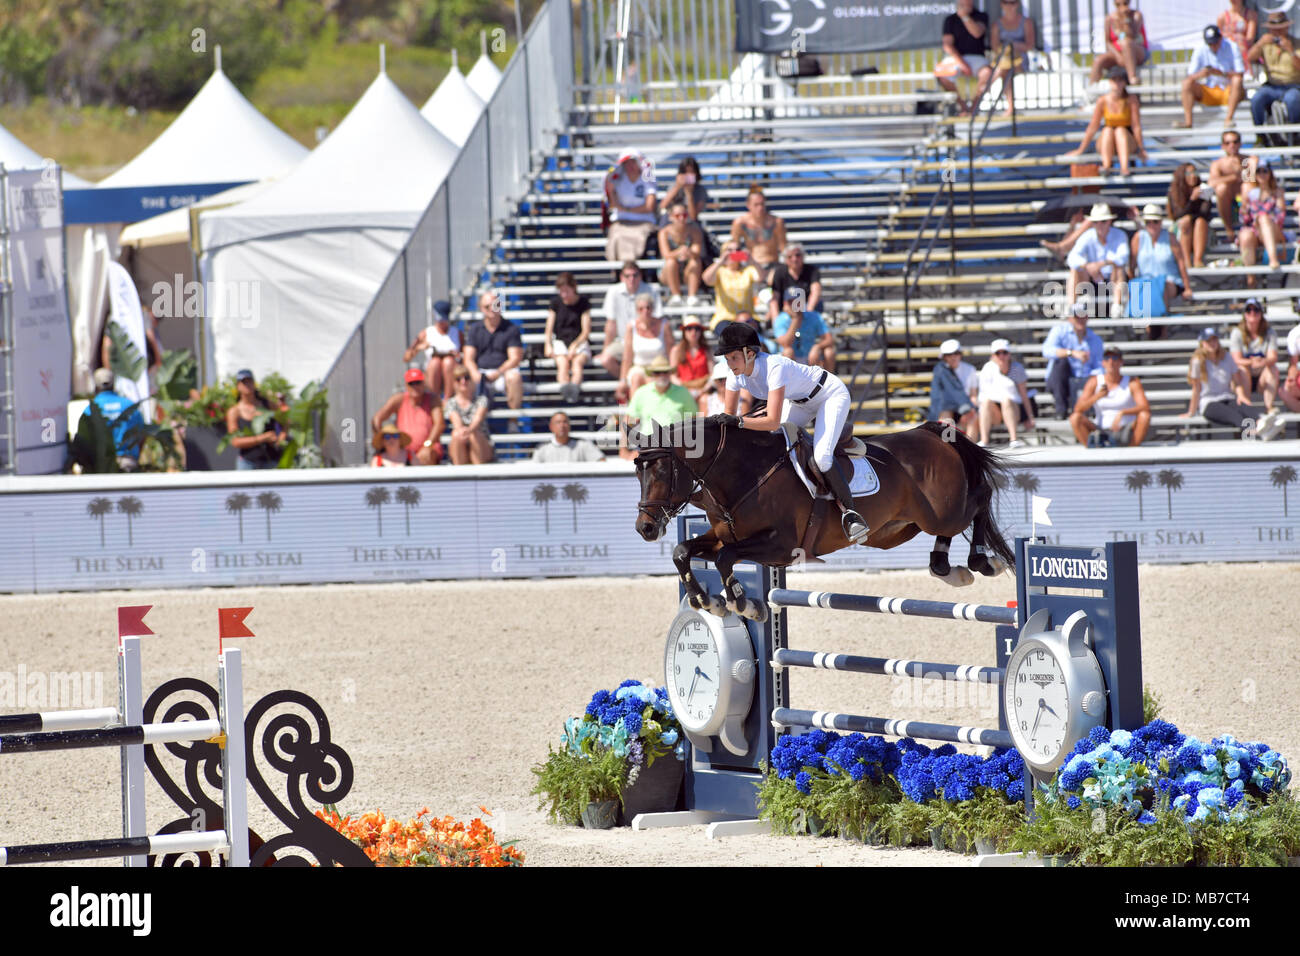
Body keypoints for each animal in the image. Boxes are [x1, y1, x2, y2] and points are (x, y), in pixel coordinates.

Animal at [629, 416, 1013, 624]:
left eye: (660, 470)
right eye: (637, 472)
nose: (645, 528)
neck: (744, 473)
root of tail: (931, 433)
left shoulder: (781, 547)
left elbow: (724, 559)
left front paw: (744, 605)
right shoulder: (726, 535)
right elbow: (683, 551)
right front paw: (706, 602)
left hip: (943, 511)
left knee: (980, 498)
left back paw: (982, 562)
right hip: (900, 529)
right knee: (947, 532)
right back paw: (947, 568)